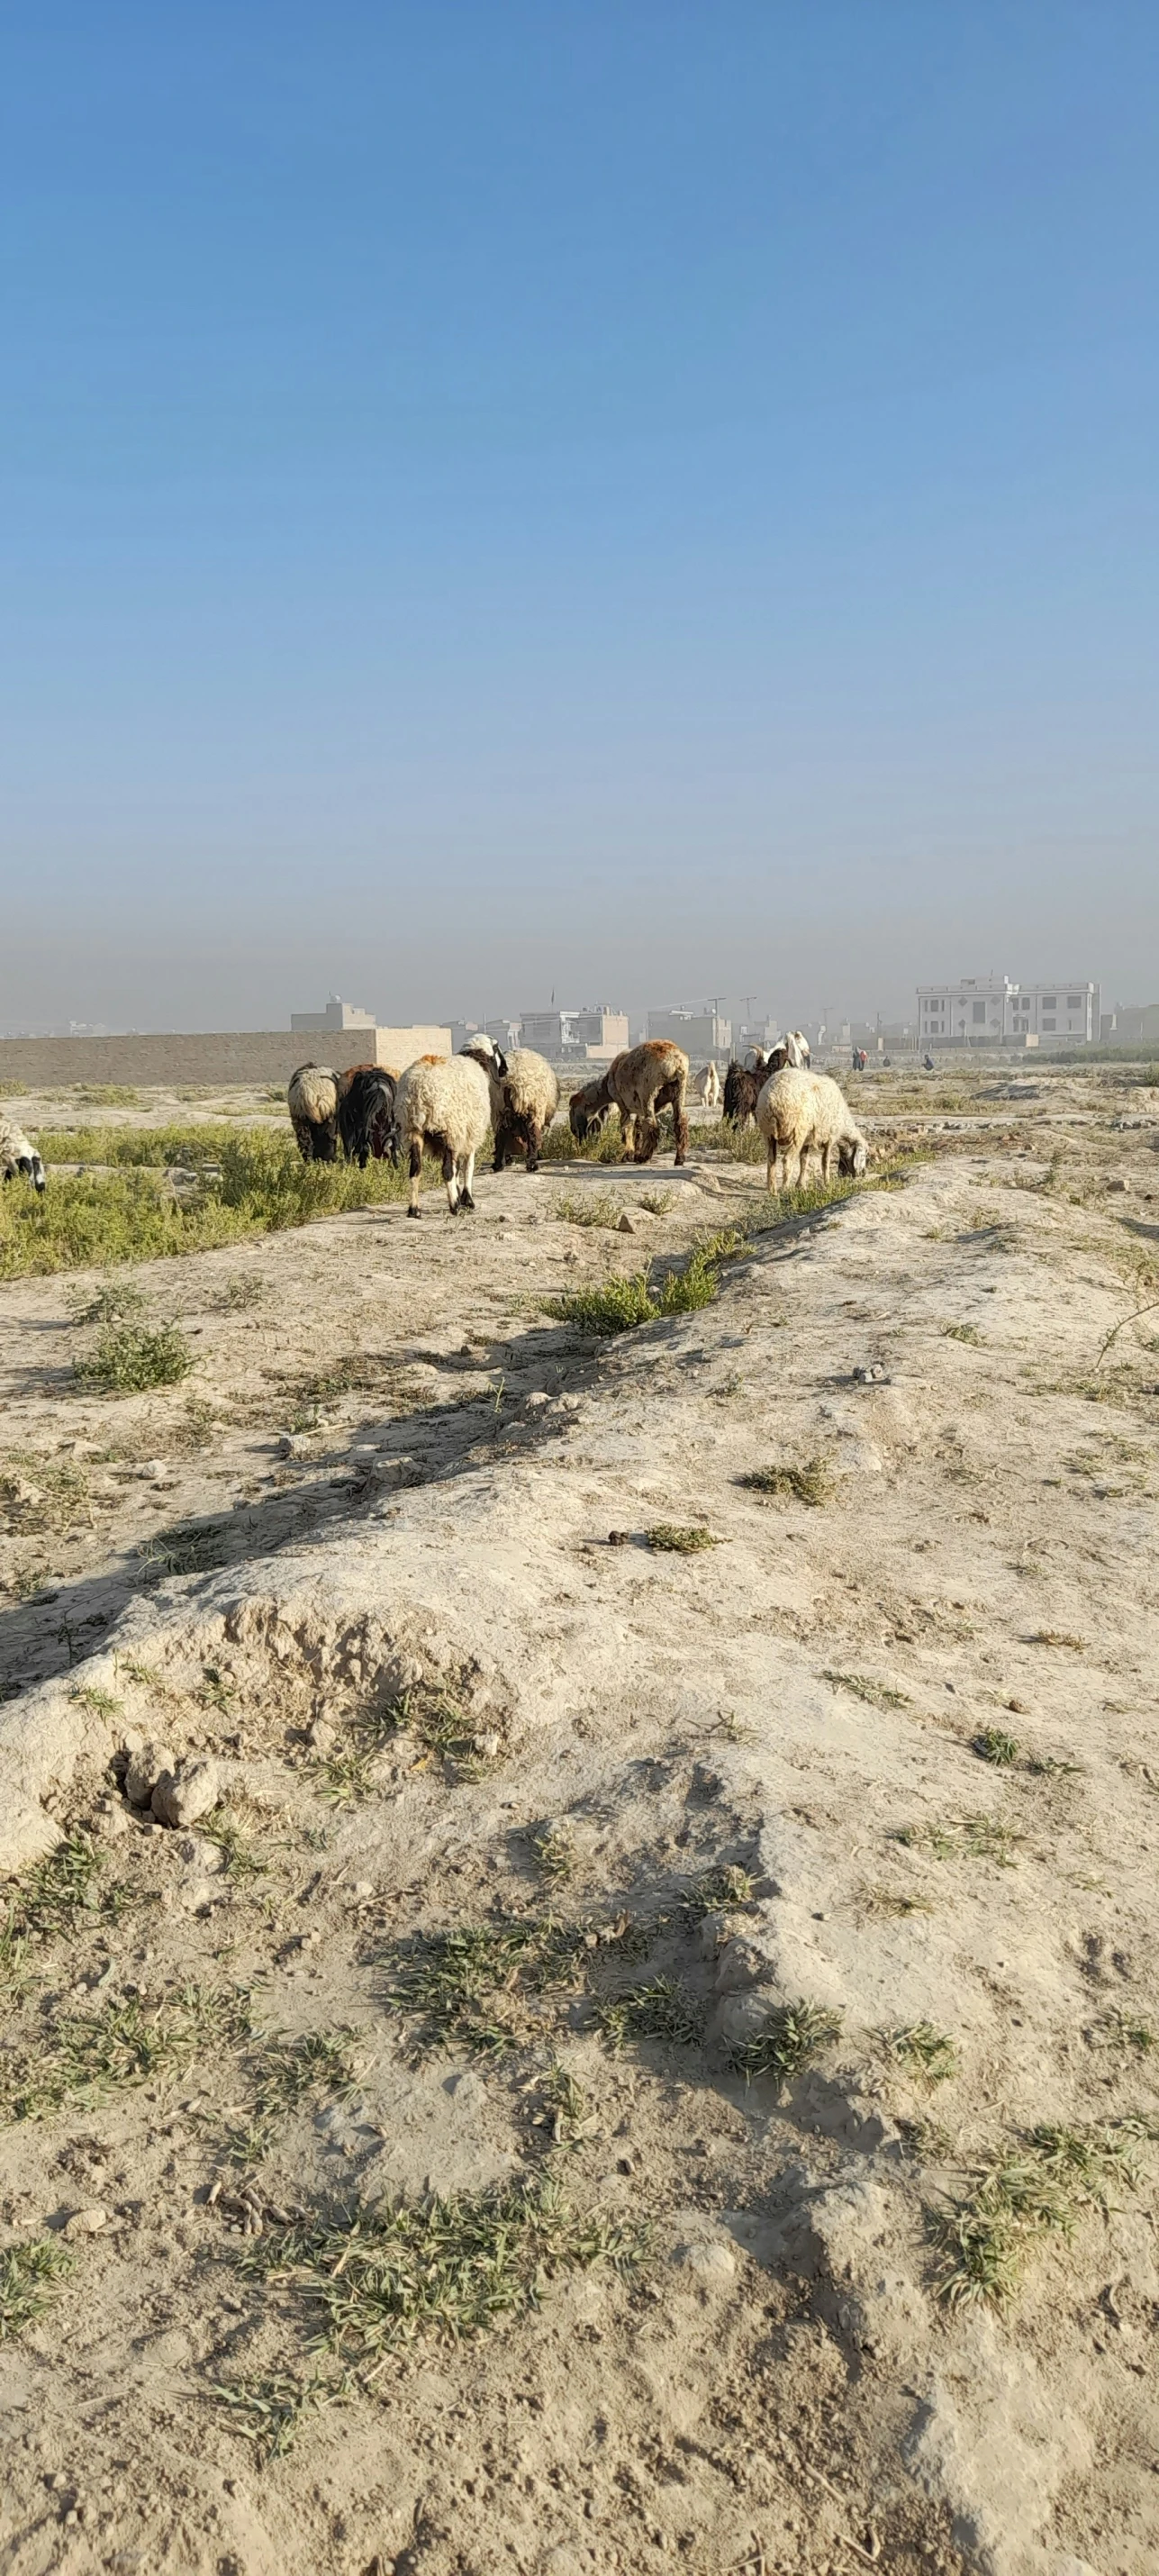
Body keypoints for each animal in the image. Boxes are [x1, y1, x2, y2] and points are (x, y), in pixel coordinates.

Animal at [396, 1046, 492, 1215]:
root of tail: (421, 1089)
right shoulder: (469, 1136)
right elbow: (467, 1167)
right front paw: (467, 1200)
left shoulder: (460, 1138)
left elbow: (457, 1168)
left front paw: (460, 1195)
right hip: (447, 1129)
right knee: (447, 1171)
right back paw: (455, 1207)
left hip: (413, 1131)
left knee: (415, 1169)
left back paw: (414, 1210)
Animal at [458, 1035, 558, 1179]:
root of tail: (512, 1080)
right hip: (532, 1108)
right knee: (533, 1134)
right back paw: (532, 1164)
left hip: (499, 1111)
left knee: (500, 1136)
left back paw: (499, 1164)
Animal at [756, 1061, 865, 1190]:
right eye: (865, 1155)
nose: (864, 1173)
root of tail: (774, 1099)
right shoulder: (830, 1137)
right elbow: (825, 1161)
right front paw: (827, 1183)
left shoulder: (807, 1140)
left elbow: (804, 1160)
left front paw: (800, 1184)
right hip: (797, 1131)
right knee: (787, 1160)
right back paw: (785, 1189)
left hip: (768, 1133)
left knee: (771, 1160)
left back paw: (772, 1190)